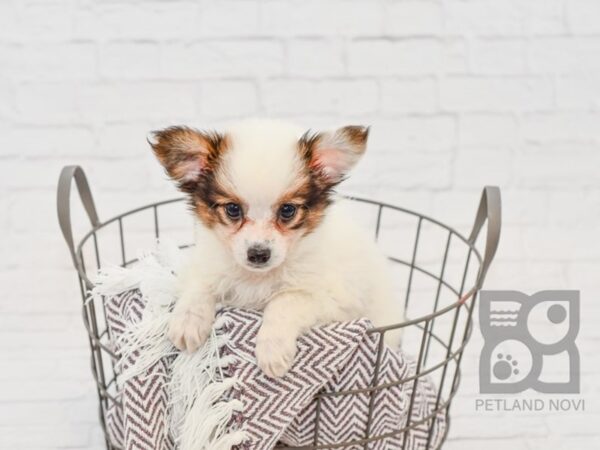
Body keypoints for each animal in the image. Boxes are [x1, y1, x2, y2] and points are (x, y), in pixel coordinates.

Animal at [150, 118, 404, 376]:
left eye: (287, 210)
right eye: (232, 209)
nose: (258, 254)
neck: (256, 279)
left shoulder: (333, 299)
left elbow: (283, 301)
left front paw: (272, 349)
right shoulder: (206, 265)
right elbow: (199, 285)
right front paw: (187, 321)